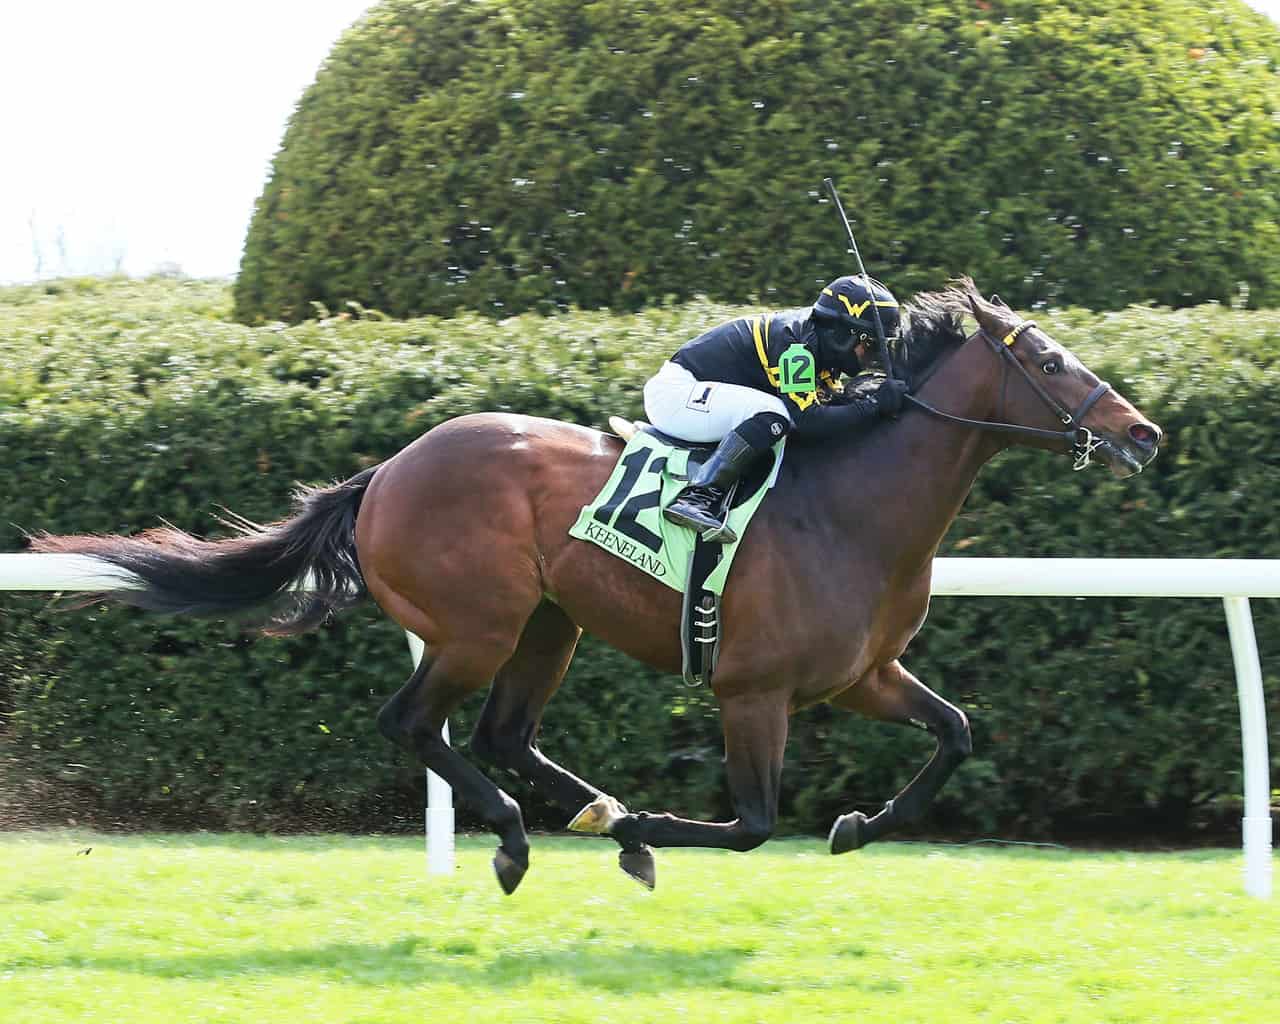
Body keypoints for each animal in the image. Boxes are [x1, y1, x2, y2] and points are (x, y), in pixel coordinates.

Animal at [35, 281, 1167, 896]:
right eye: (1053, 364)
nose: (1143, 432)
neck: (851, 504)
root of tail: (385, 472)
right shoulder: (751, 691)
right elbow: (752, 822)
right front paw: (655, 830)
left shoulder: (861, 675)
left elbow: (957, 732)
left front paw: (855, 826)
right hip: (476, 626)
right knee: (415, 724)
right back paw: (525, 837)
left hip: (549, 624)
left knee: (500, 734)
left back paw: (585, 818)